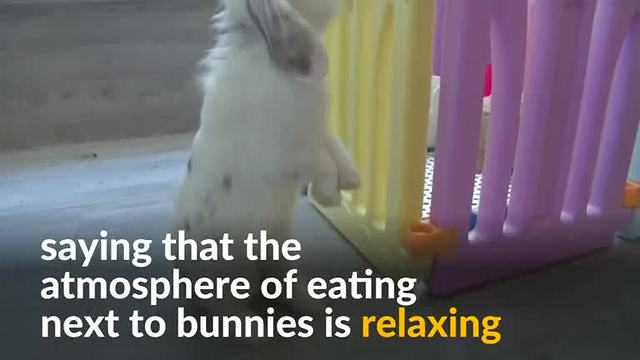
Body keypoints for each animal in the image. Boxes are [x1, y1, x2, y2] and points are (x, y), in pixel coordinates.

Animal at [174, 0, 360, 316]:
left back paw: (313, 305)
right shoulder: (289, 156)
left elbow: (333, 145)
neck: (259, 48)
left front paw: (351, 179)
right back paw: (255, 327)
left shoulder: (316, 131)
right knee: (226, 309)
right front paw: (329, 196)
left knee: (277, 282)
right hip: (228, 278)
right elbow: (320, 162)